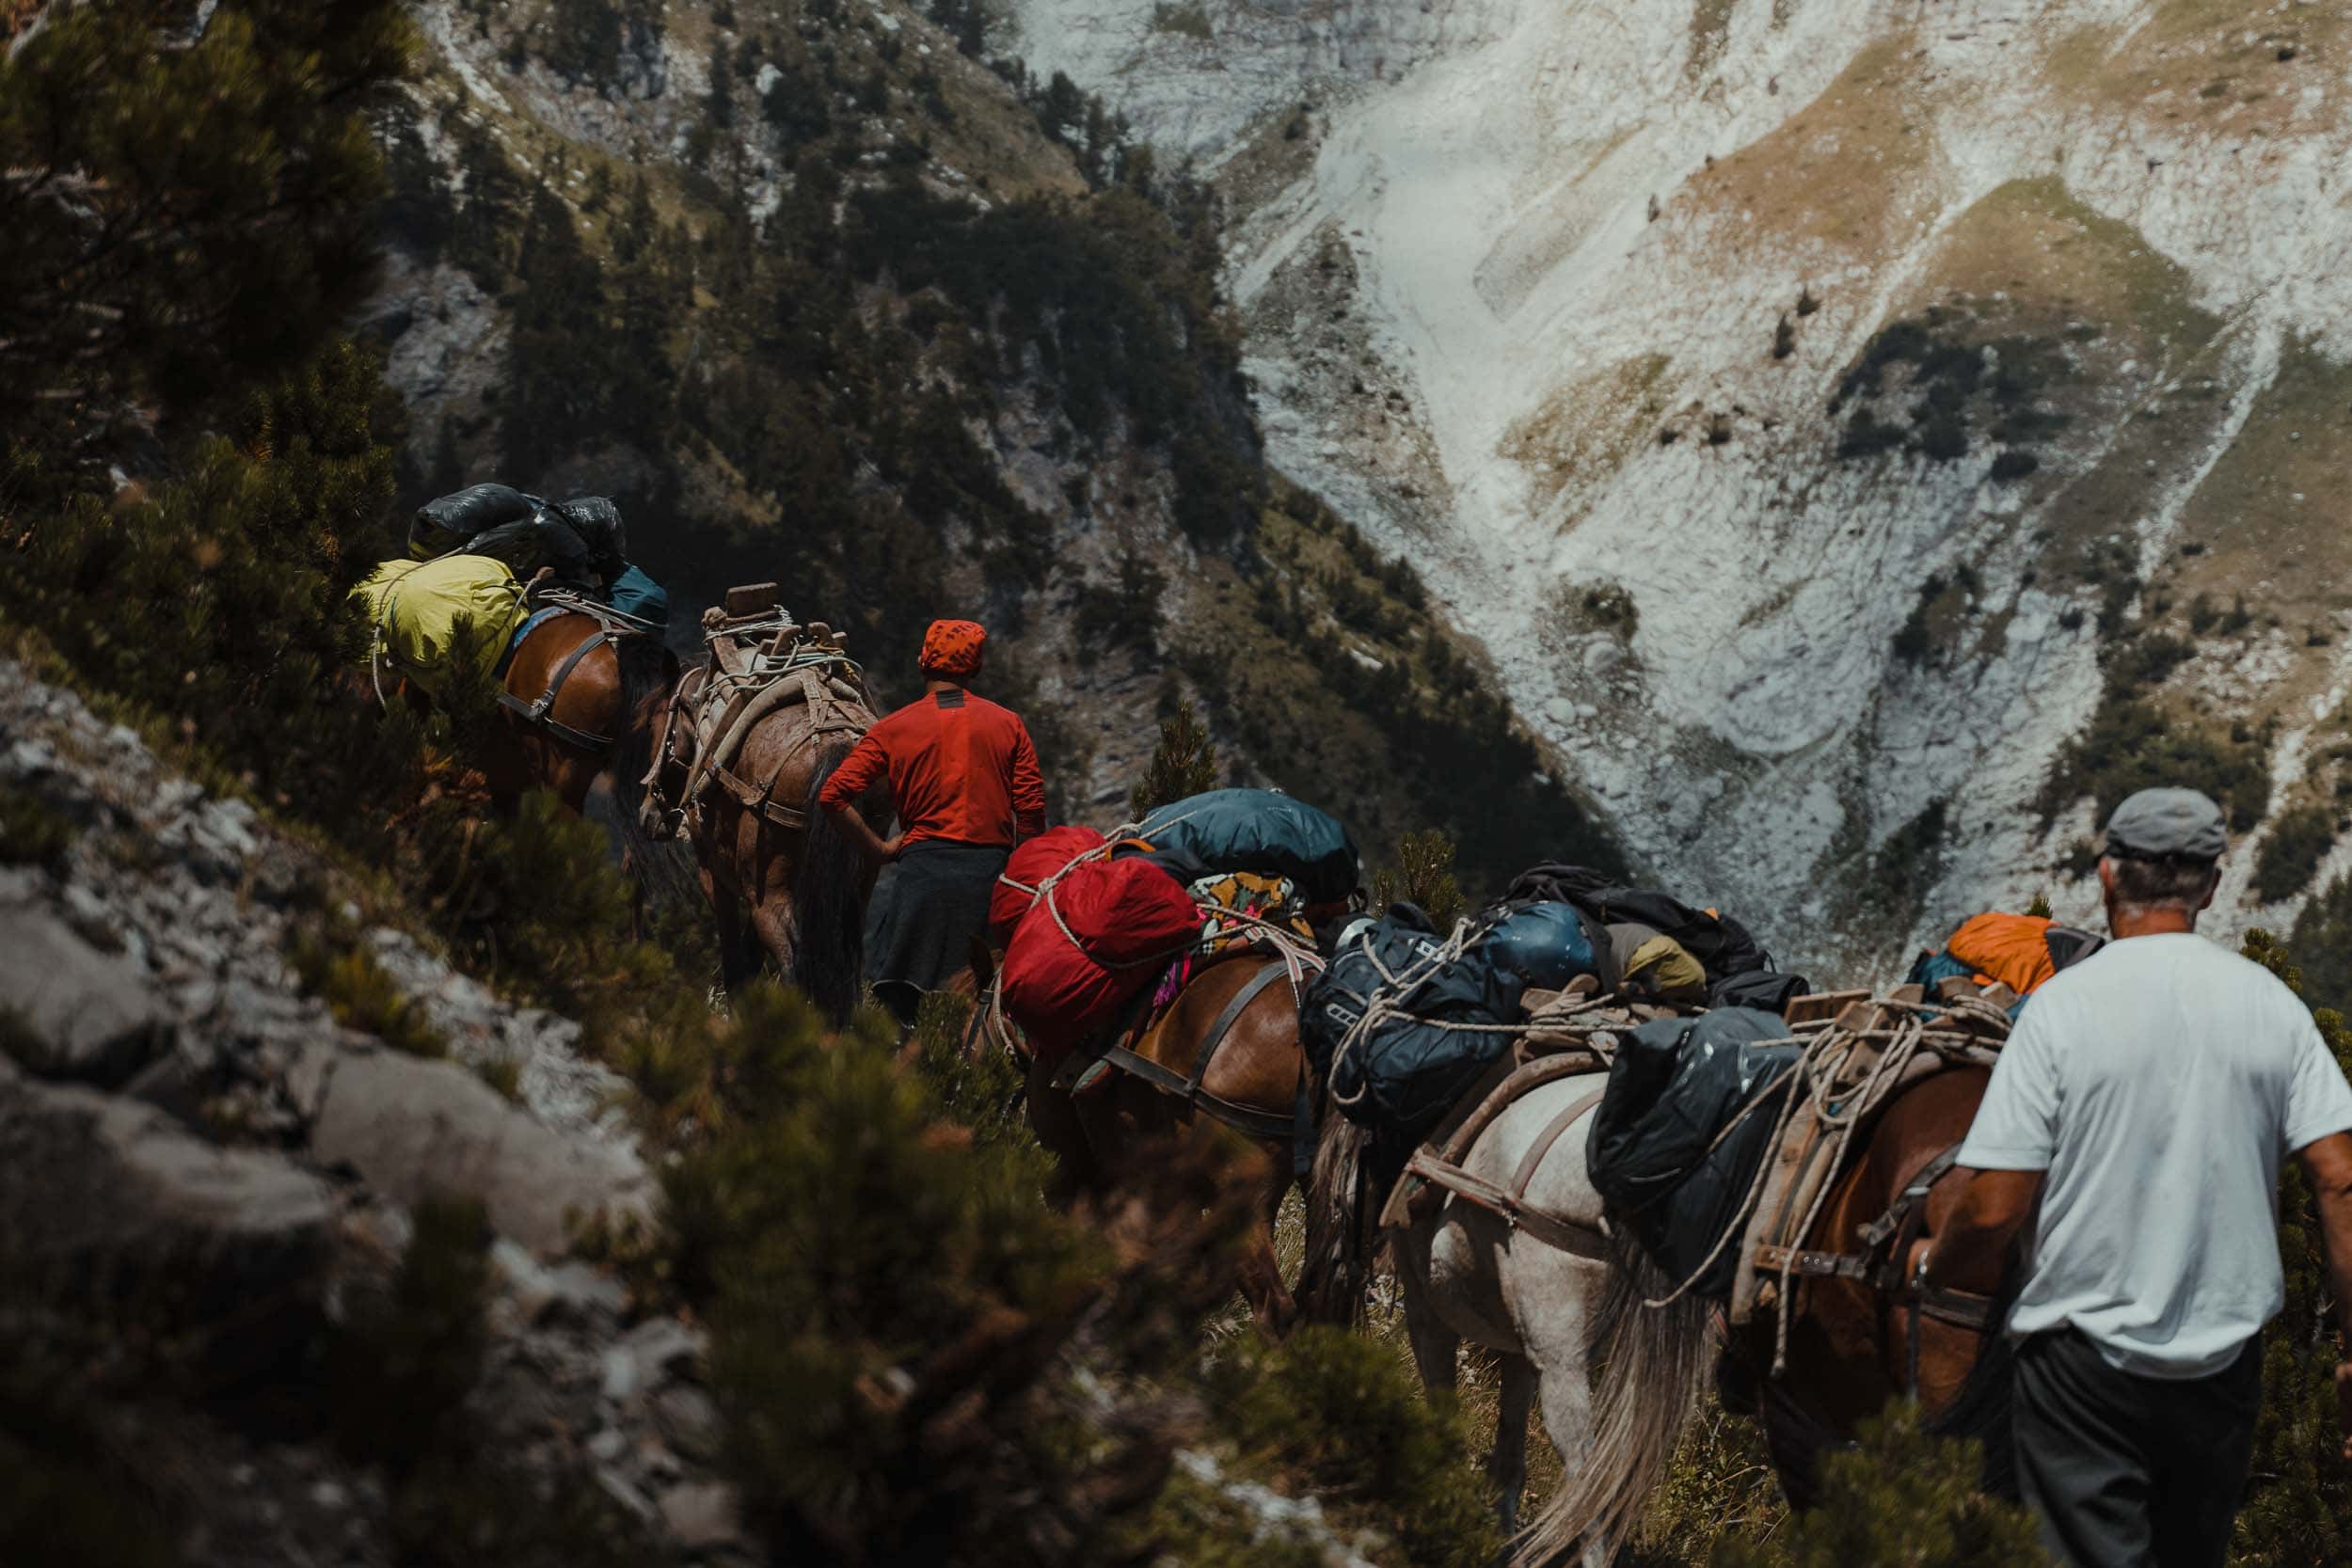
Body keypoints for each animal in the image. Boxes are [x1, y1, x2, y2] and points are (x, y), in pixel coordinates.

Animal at [1308, 1071, 1712, 1568]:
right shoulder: (1523, 1349)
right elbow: (1510, 1456)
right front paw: (1500, 1543)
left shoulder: (1428, 1311)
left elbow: (1446, 1421)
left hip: (1561, 1363)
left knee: (1587, 1480)